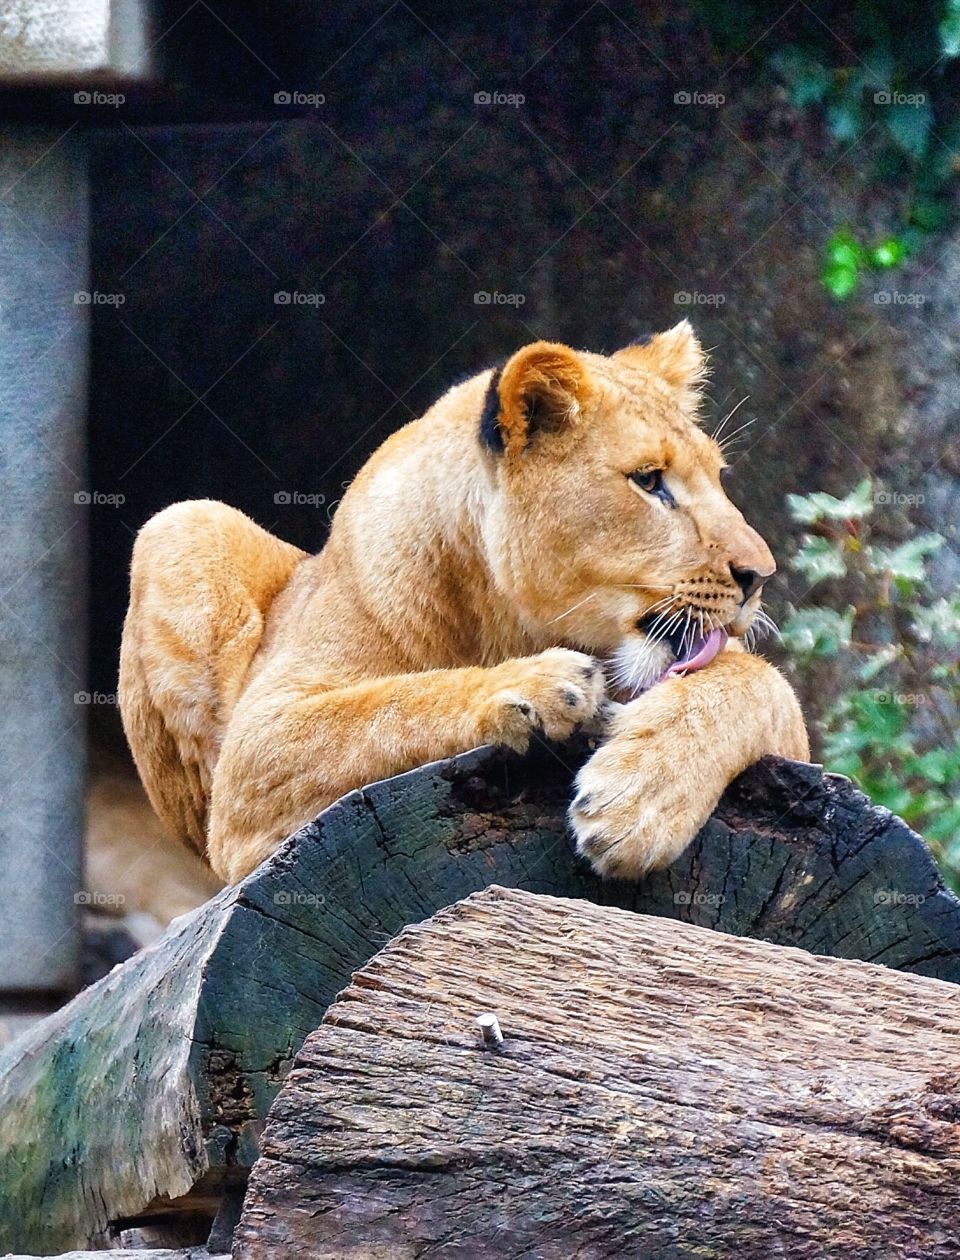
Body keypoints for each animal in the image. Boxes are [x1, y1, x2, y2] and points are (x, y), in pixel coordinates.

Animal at [119, 320, 806, 882]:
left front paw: (639, 798)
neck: (507, 617)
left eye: (718, 479)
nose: (760, 575)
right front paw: (536, 687)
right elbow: (388, 707)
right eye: (649, 481)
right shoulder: (261, 743)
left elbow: (760, 685)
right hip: (184, 522)